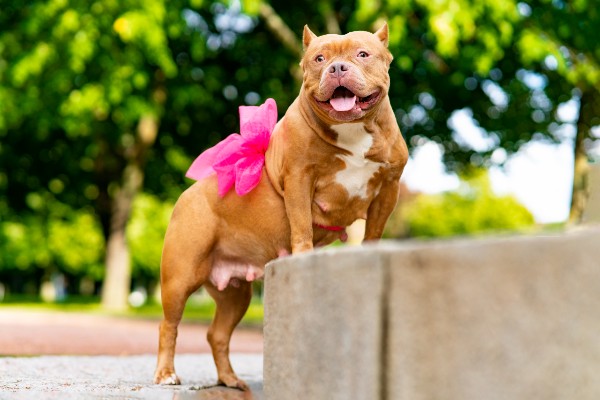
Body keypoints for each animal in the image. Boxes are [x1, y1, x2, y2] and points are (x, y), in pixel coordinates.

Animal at [154, 22, 408, 390]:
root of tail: (187, 194)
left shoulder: (388, 187)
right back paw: (166, 374)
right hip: (179, 277)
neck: (351, 131)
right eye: (319, 58)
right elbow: (300, 223)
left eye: (362, 54)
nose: (337, 68)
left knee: (217, 334)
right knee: (169, 324)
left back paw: (230, 380)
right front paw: (302, 255)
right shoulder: (299, 178)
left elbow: (373, 229)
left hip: (235, 294)